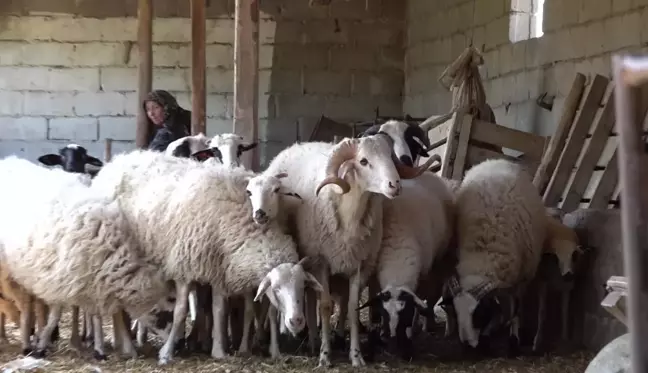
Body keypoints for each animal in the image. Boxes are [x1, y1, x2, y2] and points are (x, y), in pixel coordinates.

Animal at [0, 155, 175, 358]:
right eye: (166, 312)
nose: (178, 344)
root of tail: (9, 161)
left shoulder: (91, 282)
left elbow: (95, 315)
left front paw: (99, 349)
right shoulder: (59, 281)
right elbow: (56, 316)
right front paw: (42, 344)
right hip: (14, 273)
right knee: (26, 306)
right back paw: (27, 342)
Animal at [90, 149, 322, 364]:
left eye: (303, 286)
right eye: (276, 288)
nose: (297, 321)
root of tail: (116, 161)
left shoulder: (218, 269)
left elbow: (219, 310)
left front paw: (219, 351)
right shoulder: (184, 267)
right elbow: (181, 311)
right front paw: (166, 353)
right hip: (114, 257)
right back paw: (127, 347)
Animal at [253, 134, 436, 366]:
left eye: (390, 157)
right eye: (364, 161)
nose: (395, 185)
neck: (350, 215)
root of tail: (297, 145)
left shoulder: (359, 265)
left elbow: (352, 308)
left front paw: (356, 356)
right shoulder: (322, 262)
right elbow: (324, 307)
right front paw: (325, 355)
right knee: (311, 299)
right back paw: (310, 338)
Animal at [440, 158, 548, 354]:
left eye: (478, 314)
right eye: (457, 314)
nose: (467, 346)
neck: (483, 254)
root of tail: (497, 160)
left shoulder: (520, 280)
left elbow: (515, 311)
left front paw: (513, 340)